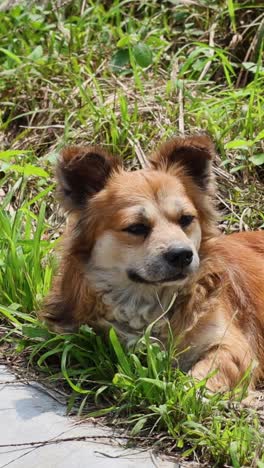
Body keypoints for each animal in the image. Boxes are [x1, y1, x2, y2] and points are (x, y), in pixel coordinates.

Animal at [40, 134, 264, 392]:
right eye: (136, 227)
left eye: (186, 219)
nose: (183, 254)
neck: (152, 300)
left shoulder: (235, 346)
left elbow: (203, 375)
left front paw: (182, 391)